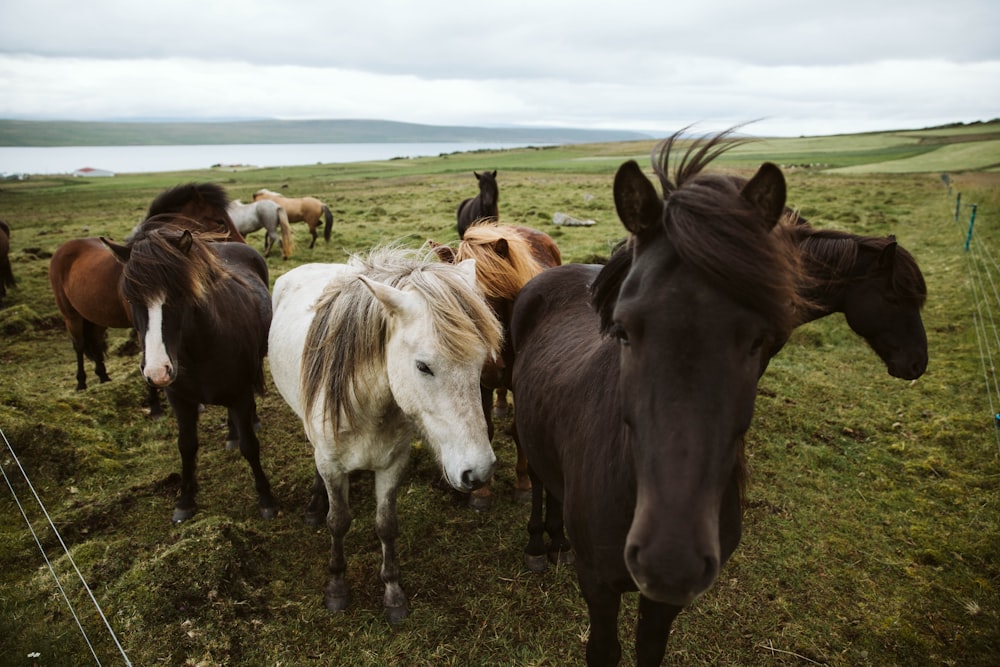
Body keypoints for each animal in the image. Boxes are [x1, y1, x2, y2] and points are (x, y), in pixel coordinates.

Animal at [104, 224, 278, 528]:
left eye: (179, 294)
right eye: (130, 298)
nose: (157, 371)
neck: (201, 348)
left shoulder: (240, 394)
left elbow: (250, 446)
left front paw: (266, 499)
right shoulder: (180, 400)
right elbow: (186, 446)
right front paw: (185, 501)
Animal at [268, 247, 504, 628]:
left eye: (481, 361)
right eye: (423, 366)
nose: (479, 471)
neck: (367, 406)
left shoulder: (394, 464)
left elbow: (386, 525)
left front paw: (393, 592)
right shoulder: (331, 464)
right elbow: (338, 522)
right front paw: (337, 586)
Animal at [512, 129, 800, 664]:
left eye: (760, 339)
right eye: (623, 331)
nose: (671, 559)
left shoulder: (664, 604)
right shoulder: (599, 585)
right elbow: (603, 651)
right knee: (539, 480)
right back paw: (541, 544)